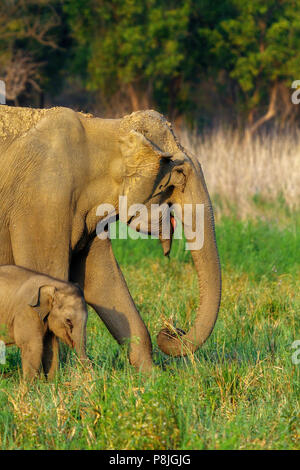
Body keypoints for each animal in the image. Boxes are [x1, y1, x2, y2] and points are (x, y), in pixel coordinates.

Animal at [0, 105, 220, 370]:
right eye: (180, 174)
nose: (171, 330)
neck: (110, 128)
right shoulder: (42, 201)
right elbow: (48, 275)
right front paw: (57, 378)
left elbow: (102, 281)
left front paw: (151, 375)